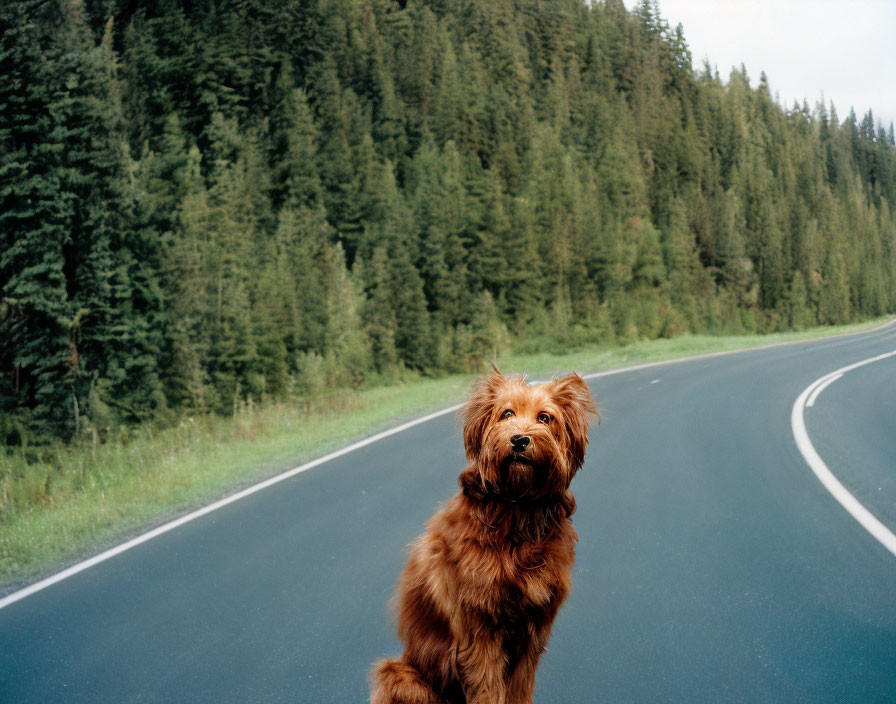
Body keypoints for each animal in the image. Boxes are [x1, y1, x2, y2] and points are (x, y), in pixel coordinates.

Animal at [368, 372, 600, 700]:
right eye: (507, 414)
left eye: (545, 417)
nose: (519, 440)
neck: (517, 514)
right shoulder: (480, 631)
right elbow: (489, 688)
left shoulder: (532, 632)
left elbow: (519, 689)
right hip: (400, 675)